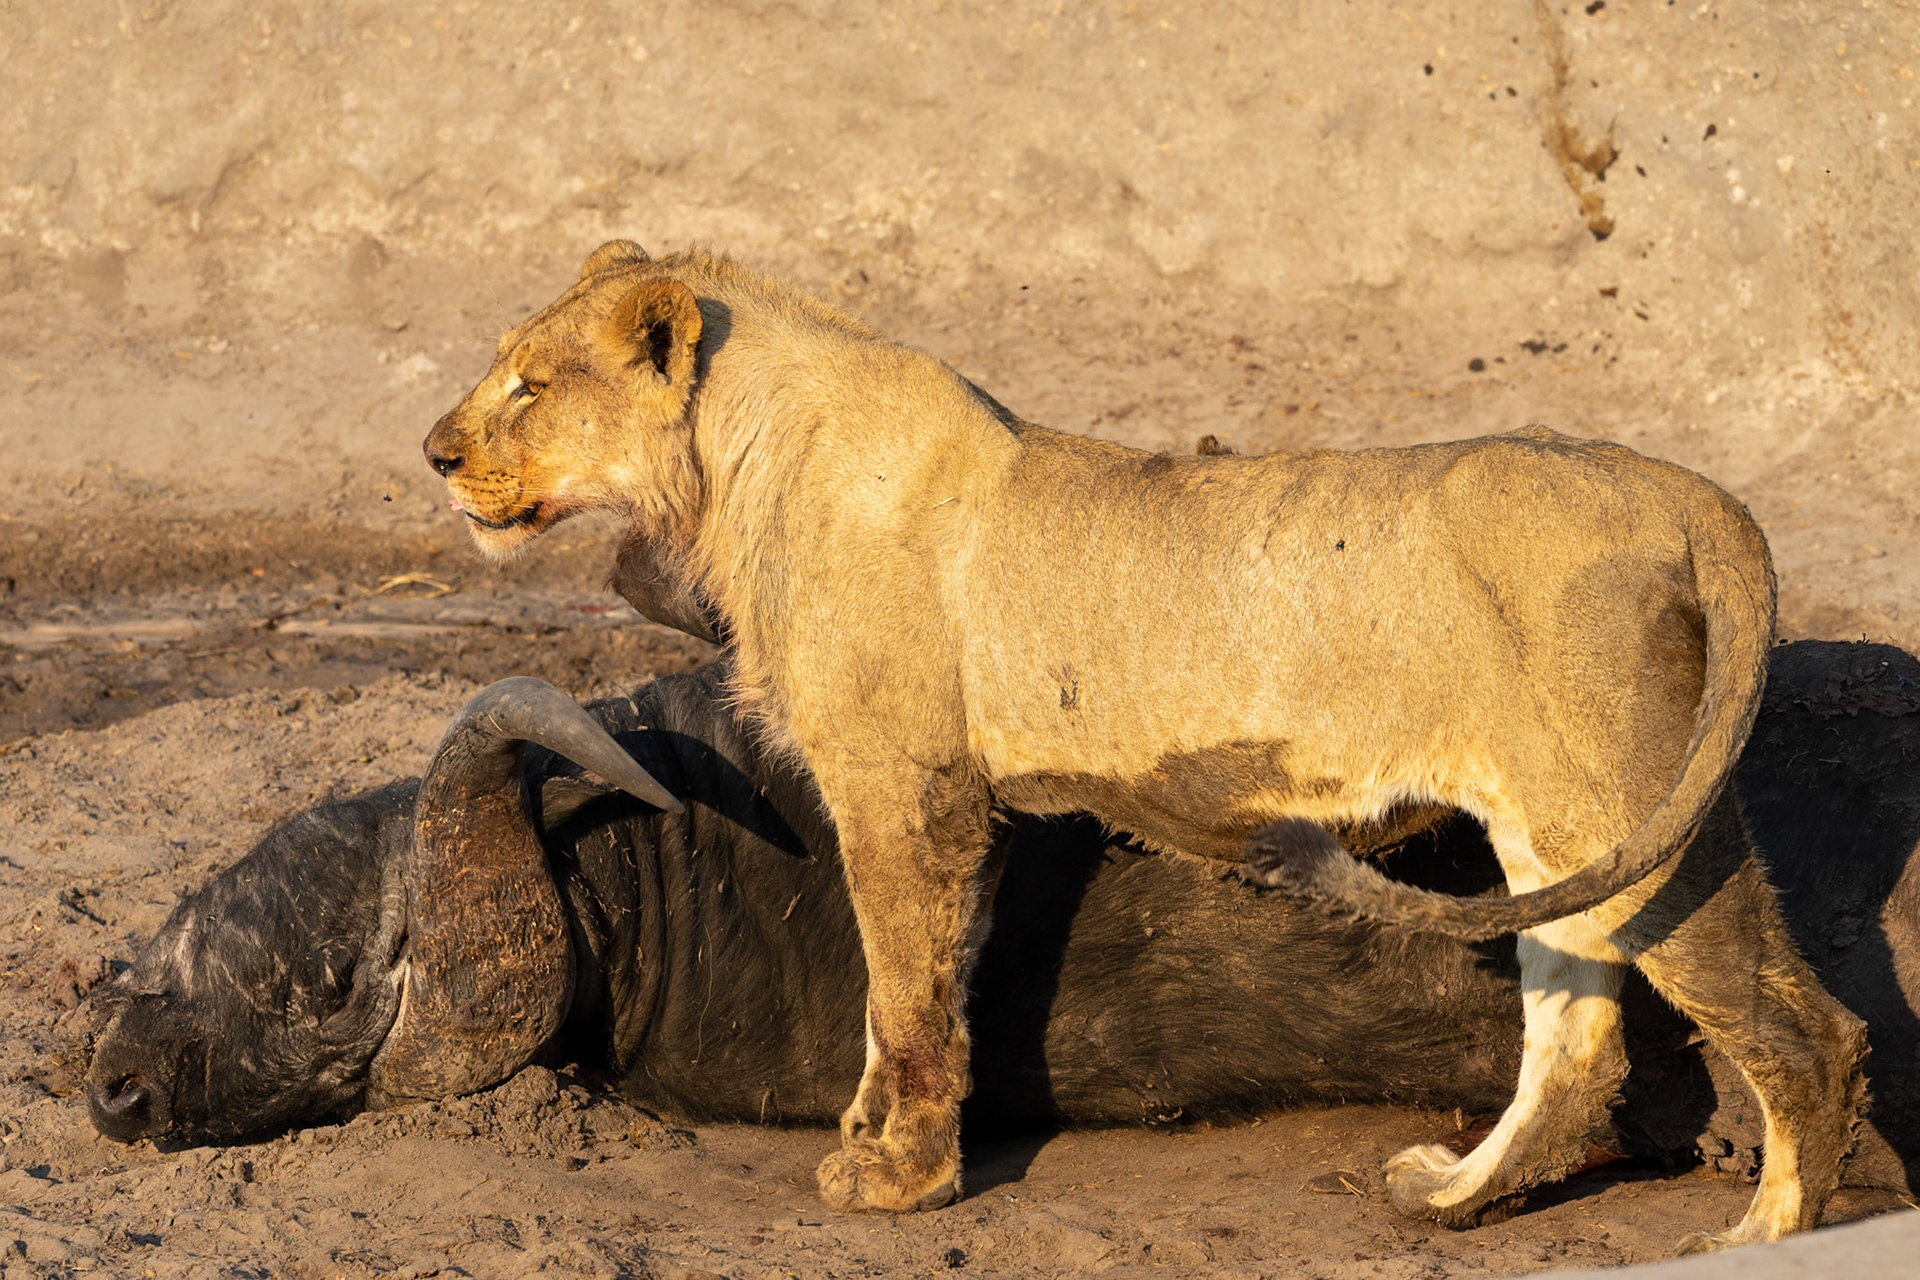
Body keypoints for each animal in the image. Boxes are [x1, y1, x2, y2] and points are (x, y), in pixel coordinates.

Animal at [423, 241, 1866, 1250]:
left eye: (531, 384)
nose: (433, 452)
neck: (739, 467)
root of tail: (1687, 490)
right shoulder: (959, 800)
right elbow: (929, 984)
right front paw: (888, 1145)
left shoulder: (904, 782)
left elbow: (906, 989)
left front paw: (893, 1176)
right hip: (1576, 821)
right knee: (1582, 1043)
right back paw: (1452, 1196)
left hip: (1619, 809)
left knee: (1802, 1026)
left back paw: (1759, 1236)